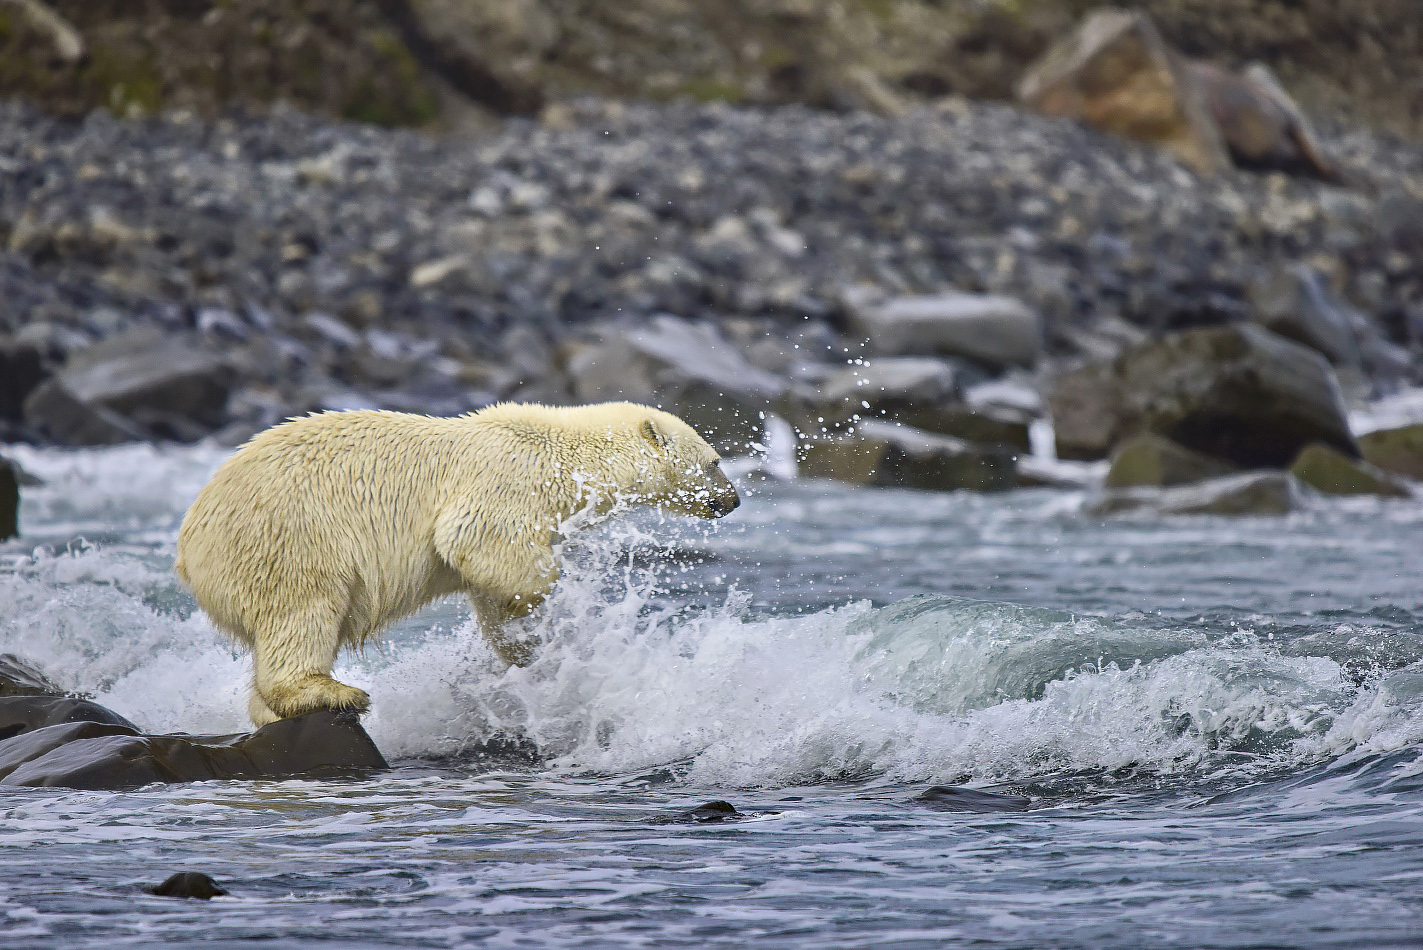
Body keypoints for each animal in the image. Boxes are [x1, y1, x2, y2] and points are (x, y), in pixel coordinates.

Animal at [172, 403, 739, 728]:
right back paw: (331, 694)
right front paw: (551, 593)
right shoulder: (510, 478)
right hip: (290, 539)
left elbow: (494, 592)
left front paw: (530, 650)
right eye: (715, 461)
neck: (568, 452)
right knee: (303, 611)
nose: (732, 500)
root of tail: (189, 551)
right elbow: (474, 539)